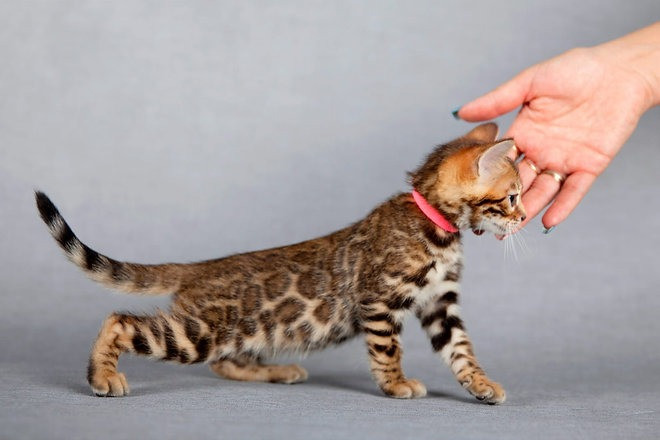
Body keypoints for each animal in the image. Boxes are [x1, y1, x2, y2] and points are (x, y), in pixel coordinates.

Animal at [36, 122, 524, 404]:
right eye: (513, 196)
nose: (523, 218)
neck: (435, 226)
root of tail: (199, 267)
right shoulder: (380, 300)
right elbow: (388, 350)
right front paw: (395, 384)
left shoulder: (441, 304)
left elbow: (461, 350)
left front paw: (480, 385)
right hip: (200, 332)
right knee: (120, 321)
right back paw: (102, 375)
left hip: (244, 332)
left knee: (223, 362)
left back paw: (277, 370)